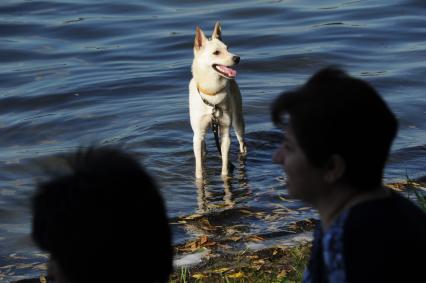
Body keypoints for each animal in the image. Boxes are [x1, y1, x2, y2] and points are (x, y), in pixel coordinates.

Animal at [190, 21, 246, 180]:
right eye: (216, 52)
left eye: (228, 48)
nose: (237, 58)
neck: (212, 94)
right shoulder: (198, 135)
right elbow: (198, 166)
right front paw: (199, 178)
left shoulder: (225, 132)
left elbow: (225, 163)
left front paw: (225, 176)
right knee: (203, 151)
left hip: (238, 122)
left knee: (242, 144)